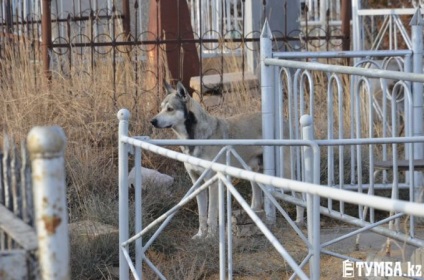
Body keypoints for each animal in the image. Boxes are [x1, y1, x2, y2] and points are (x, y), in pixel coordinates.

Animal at [151, 80, 296, 238]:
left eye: (170, 109)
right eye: (160, 109)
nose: (152, 121)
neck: (198, 138)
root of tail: (284, 121)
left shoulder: (212, 182)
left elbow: (211, 214)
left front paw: (210, 236)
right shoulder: (196, 182)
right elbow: (202, 214)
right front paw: (200, 235)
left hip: (285, 173)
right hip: (253, 172)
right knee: (257, 197)